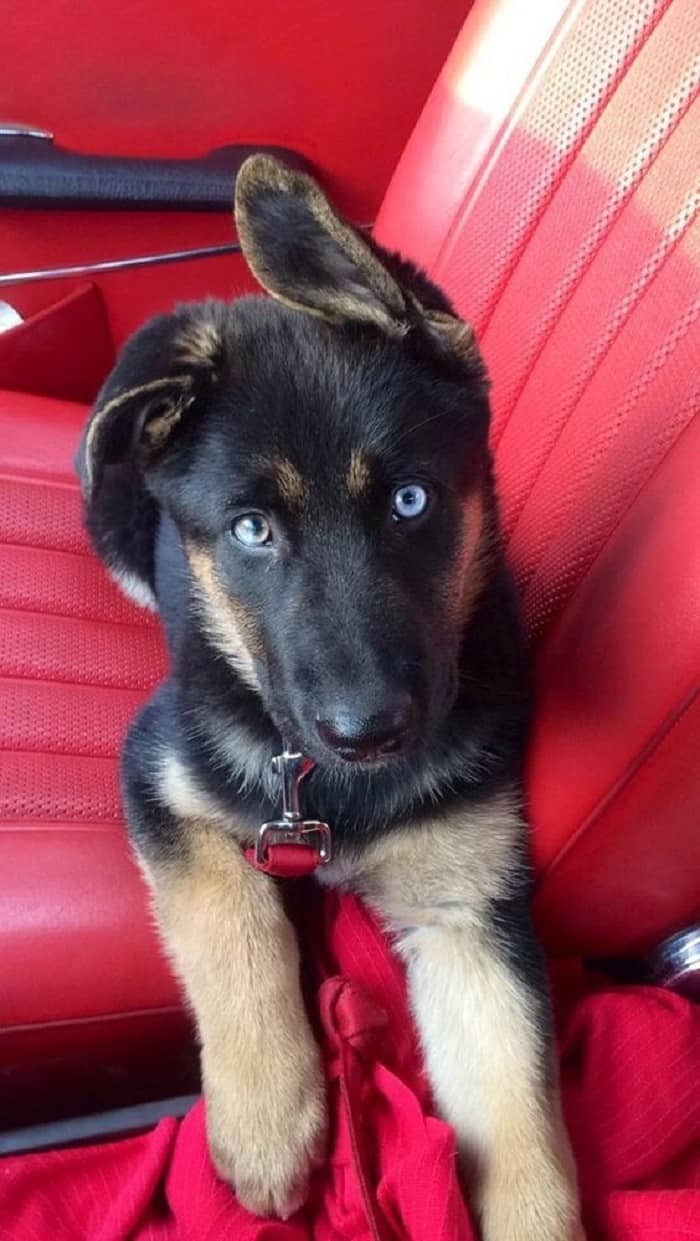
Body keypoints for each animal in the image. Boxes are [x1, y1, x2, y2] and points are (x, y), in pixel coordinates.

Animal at [76, 157, 580, 1241]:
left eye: (410, 501)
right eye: (251, 529)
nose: (369, 731)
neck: (326, 787)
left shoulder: (467, 911)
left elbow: (524, 1122)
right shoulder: (159, 778)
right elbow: (233, 925)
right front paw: (268, 1123)